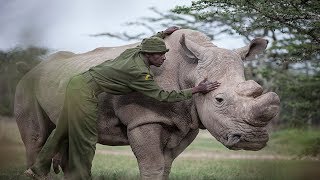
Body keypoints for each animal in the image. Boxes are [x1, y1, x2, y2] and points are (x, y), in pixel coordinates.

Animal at [15, 28, 280, 179]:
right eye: (219, 100)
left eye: (257, 90)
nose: (254, 140)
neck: (189, 68)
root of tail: (32, 69)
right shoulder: (144, 119)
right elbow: (152, 165)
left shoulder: (186, 122)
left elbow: (165, 166)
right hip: (27, 85)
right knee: (37, 137)